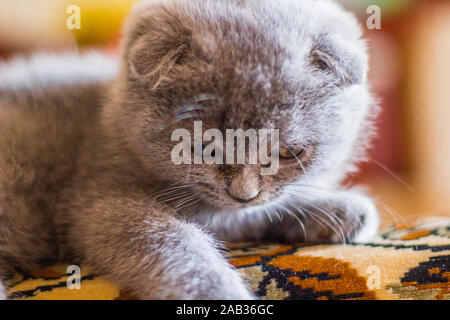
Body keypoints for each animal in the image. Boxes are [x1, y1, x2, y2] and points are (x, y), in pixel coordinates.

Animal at [0, 0, 380, 300]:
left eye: (288, 153)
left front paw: (336, 210)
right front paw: (218, 291)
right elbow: (174, 242)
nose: (243, 193)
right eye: (205, 148)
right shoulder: (99, 198)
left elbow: (249, 213)